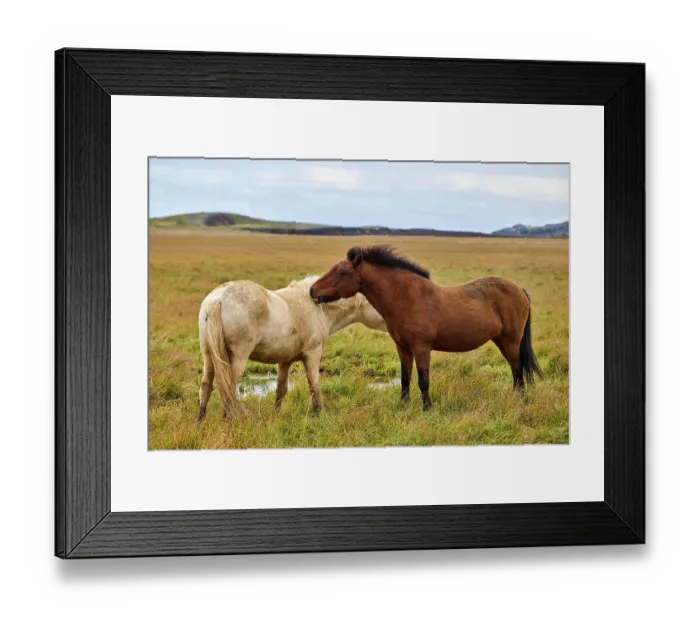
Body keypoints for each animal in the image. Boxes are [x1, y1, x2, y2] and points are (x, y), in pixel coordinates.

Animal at [197, 275, 386, 420]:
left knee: (207, 385)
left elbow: (281, 390)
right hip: (237, 357)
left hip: (208, 355)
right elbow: (314, 386)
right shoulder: (313, 354)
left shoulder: (284, 360)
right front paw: (319, 415)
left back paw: (200, 421)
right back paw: (229, 420)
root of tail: (218, 298)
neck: (317, 307)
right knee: (227, 386)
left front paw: (275, 416)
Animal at [309, 246, 542, 411]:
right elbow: (405, 378)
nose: (312, 290)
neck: (406, 298)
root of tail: (519, 290)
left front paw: (427, 408)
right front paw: (403, 406)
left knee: (517, 368)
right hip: (502, 341)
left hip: (511, 341)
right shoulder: (403, 347)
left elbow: (423, 380)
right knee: (515, 368)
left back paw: (518, 398)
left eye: (341, 272)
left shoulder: (421, 347)